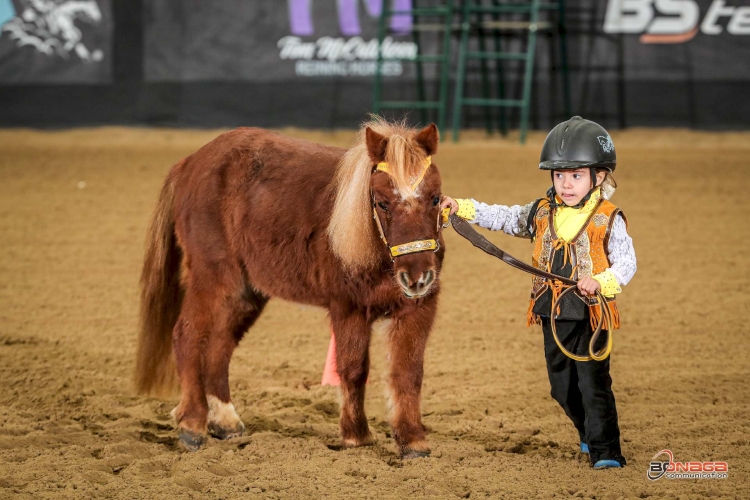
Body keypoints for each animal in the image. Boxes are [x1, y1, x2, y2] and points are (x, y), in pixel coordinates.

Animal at [137, 117, 446, 458]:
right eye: (381, 202)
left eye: (435, 198)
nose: (417, 277)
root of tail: (190, 163)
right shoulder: (347, 308)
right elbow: (353, 369)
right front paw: (357, 436)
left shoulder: (417, 310)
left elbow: (408, 373)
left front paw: (413, 440)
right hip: (211, 278)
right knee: (188, 335)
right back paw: (192, 425)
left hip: (246, 293)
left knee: (220, 344)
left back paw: (226, 422)